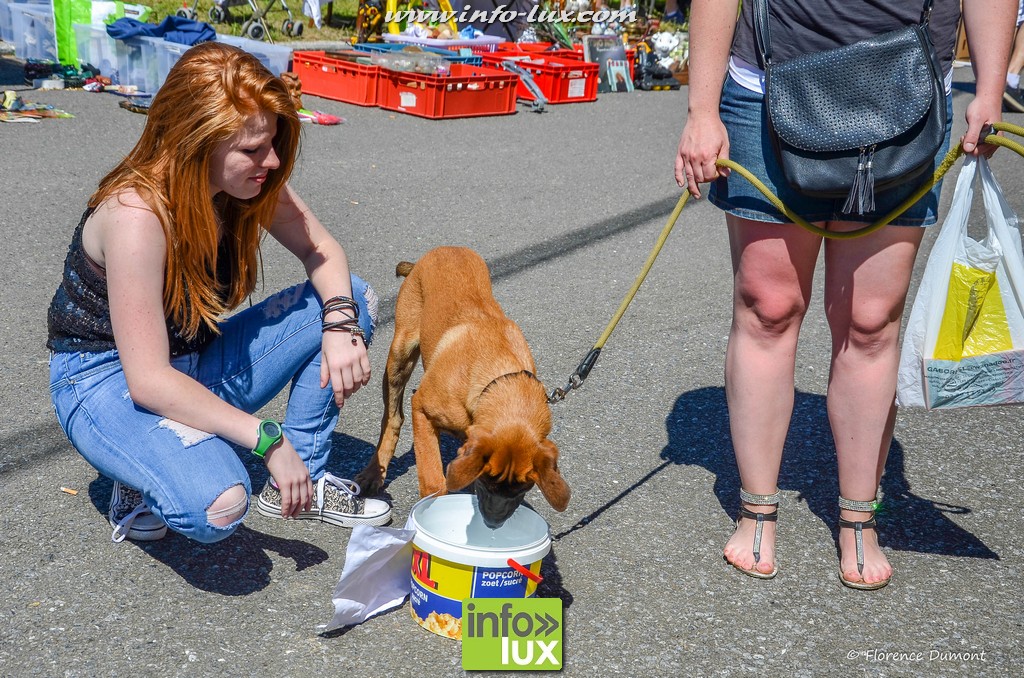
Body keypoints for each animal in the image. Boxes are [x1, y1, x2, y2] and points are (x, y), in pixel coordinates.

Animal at [356, 246, 573, 528]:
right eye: (487, 478)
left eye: (523, 487)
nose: (493, 523)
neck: (498, 379)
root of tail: (441, 250)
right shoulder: (421, 408)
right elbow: (434, 480)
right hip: (399, 355)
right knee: (393, 418)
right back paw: (373, 474)